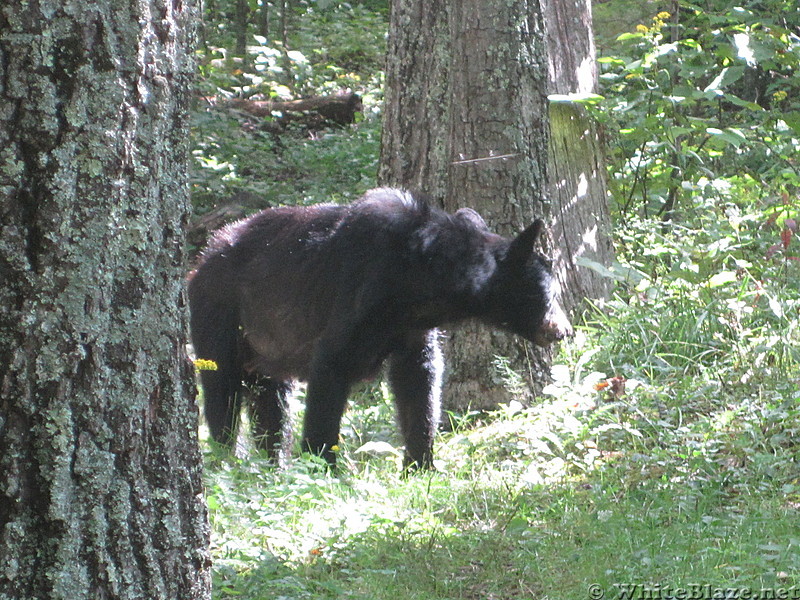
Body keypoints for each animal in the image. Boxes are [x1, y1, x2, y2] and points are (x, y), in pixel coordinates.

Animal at [190, 188, 572, 468]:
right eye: (550, 291)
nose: (564, 330)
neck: (416, 278)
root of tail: (199, 260)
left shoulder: (411, 330)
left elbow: (420, 383)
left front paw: (421, 464)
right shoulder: (359, 295)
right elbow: (330, 369)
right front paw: (321, 463)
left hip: (268, 347)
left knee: (273, 402)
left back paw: (273, 464)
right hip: (220, 315)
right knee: (223, 392)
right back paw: (229, 459)